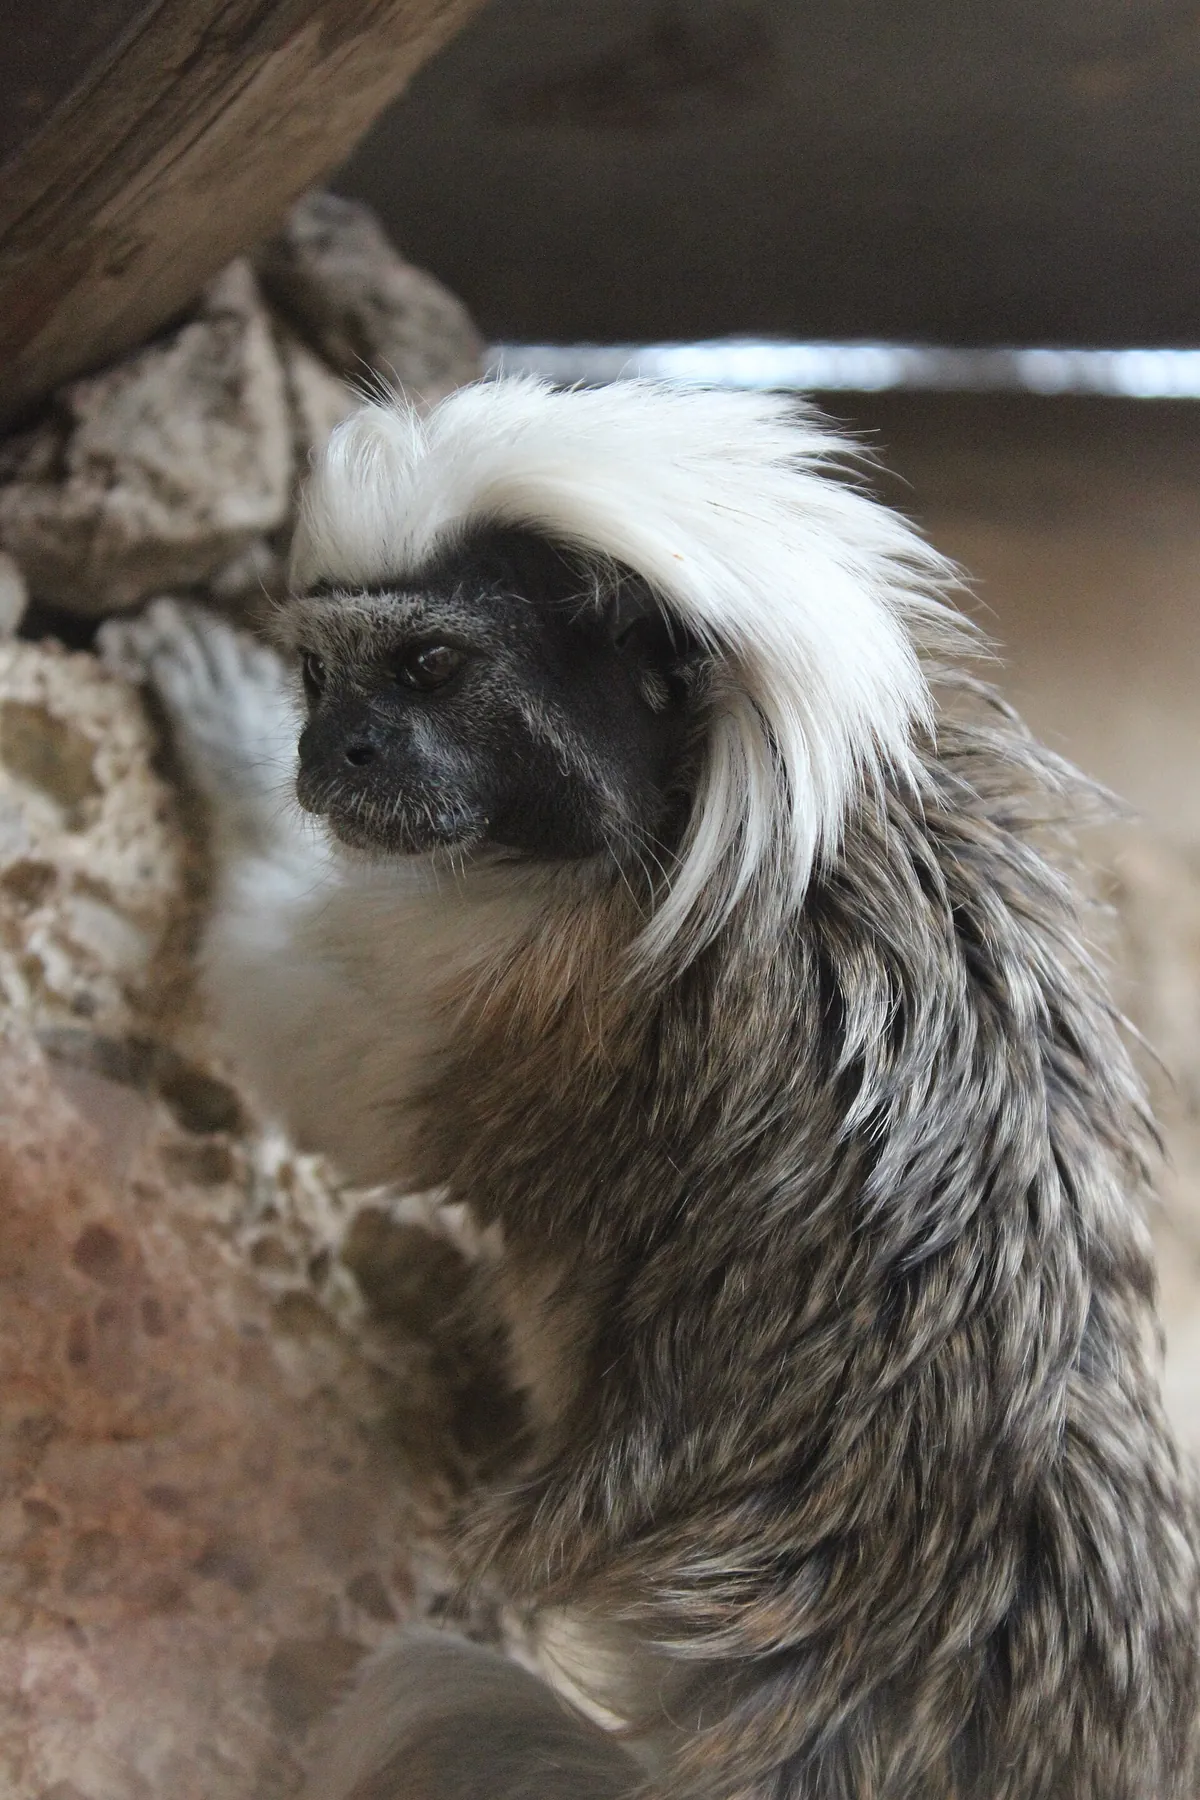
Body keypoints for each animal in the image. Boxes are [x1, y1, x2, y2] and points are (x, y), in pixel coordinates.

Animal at [104, 377, 1200, 1798]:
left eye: (429, 670)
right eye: (324, 675)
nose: (330, 749)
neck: (706, 812)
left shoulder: (537, 982)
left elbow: (327, 1060)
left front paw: (223, 756)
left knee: (422, 1689)